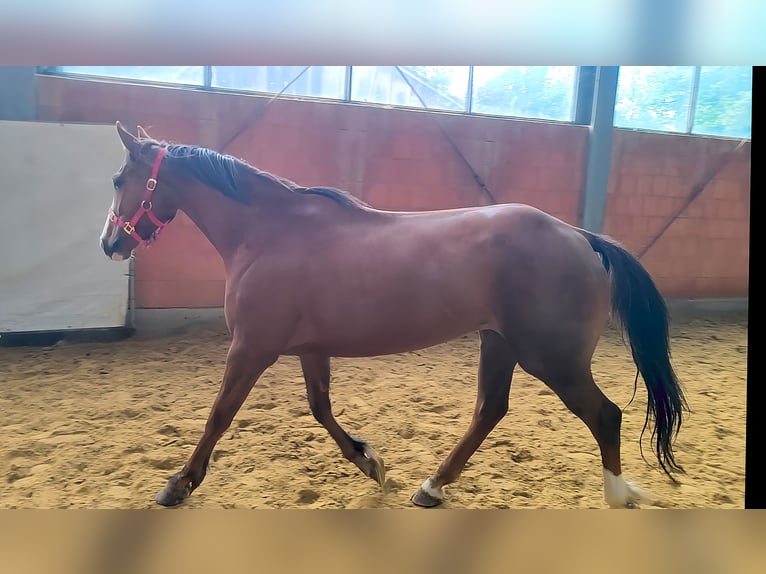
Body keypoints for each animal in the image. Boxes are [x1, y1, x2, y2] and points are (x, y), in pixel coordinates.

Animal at [100, 121, 688, 509]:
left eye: (118, 179)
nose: (110, 244)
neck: (268, 231)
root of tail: (582, 237)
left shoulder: (252, 347)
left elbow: (220, 415)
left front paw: (178, 484)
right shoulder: (310, 349)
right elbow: (320, 408)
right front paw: (371, 463)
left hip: (552, 358)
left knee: (604, 415)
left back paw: (619, 494)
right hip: (499, 343)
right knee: (490, 411)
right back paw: (431, 487)